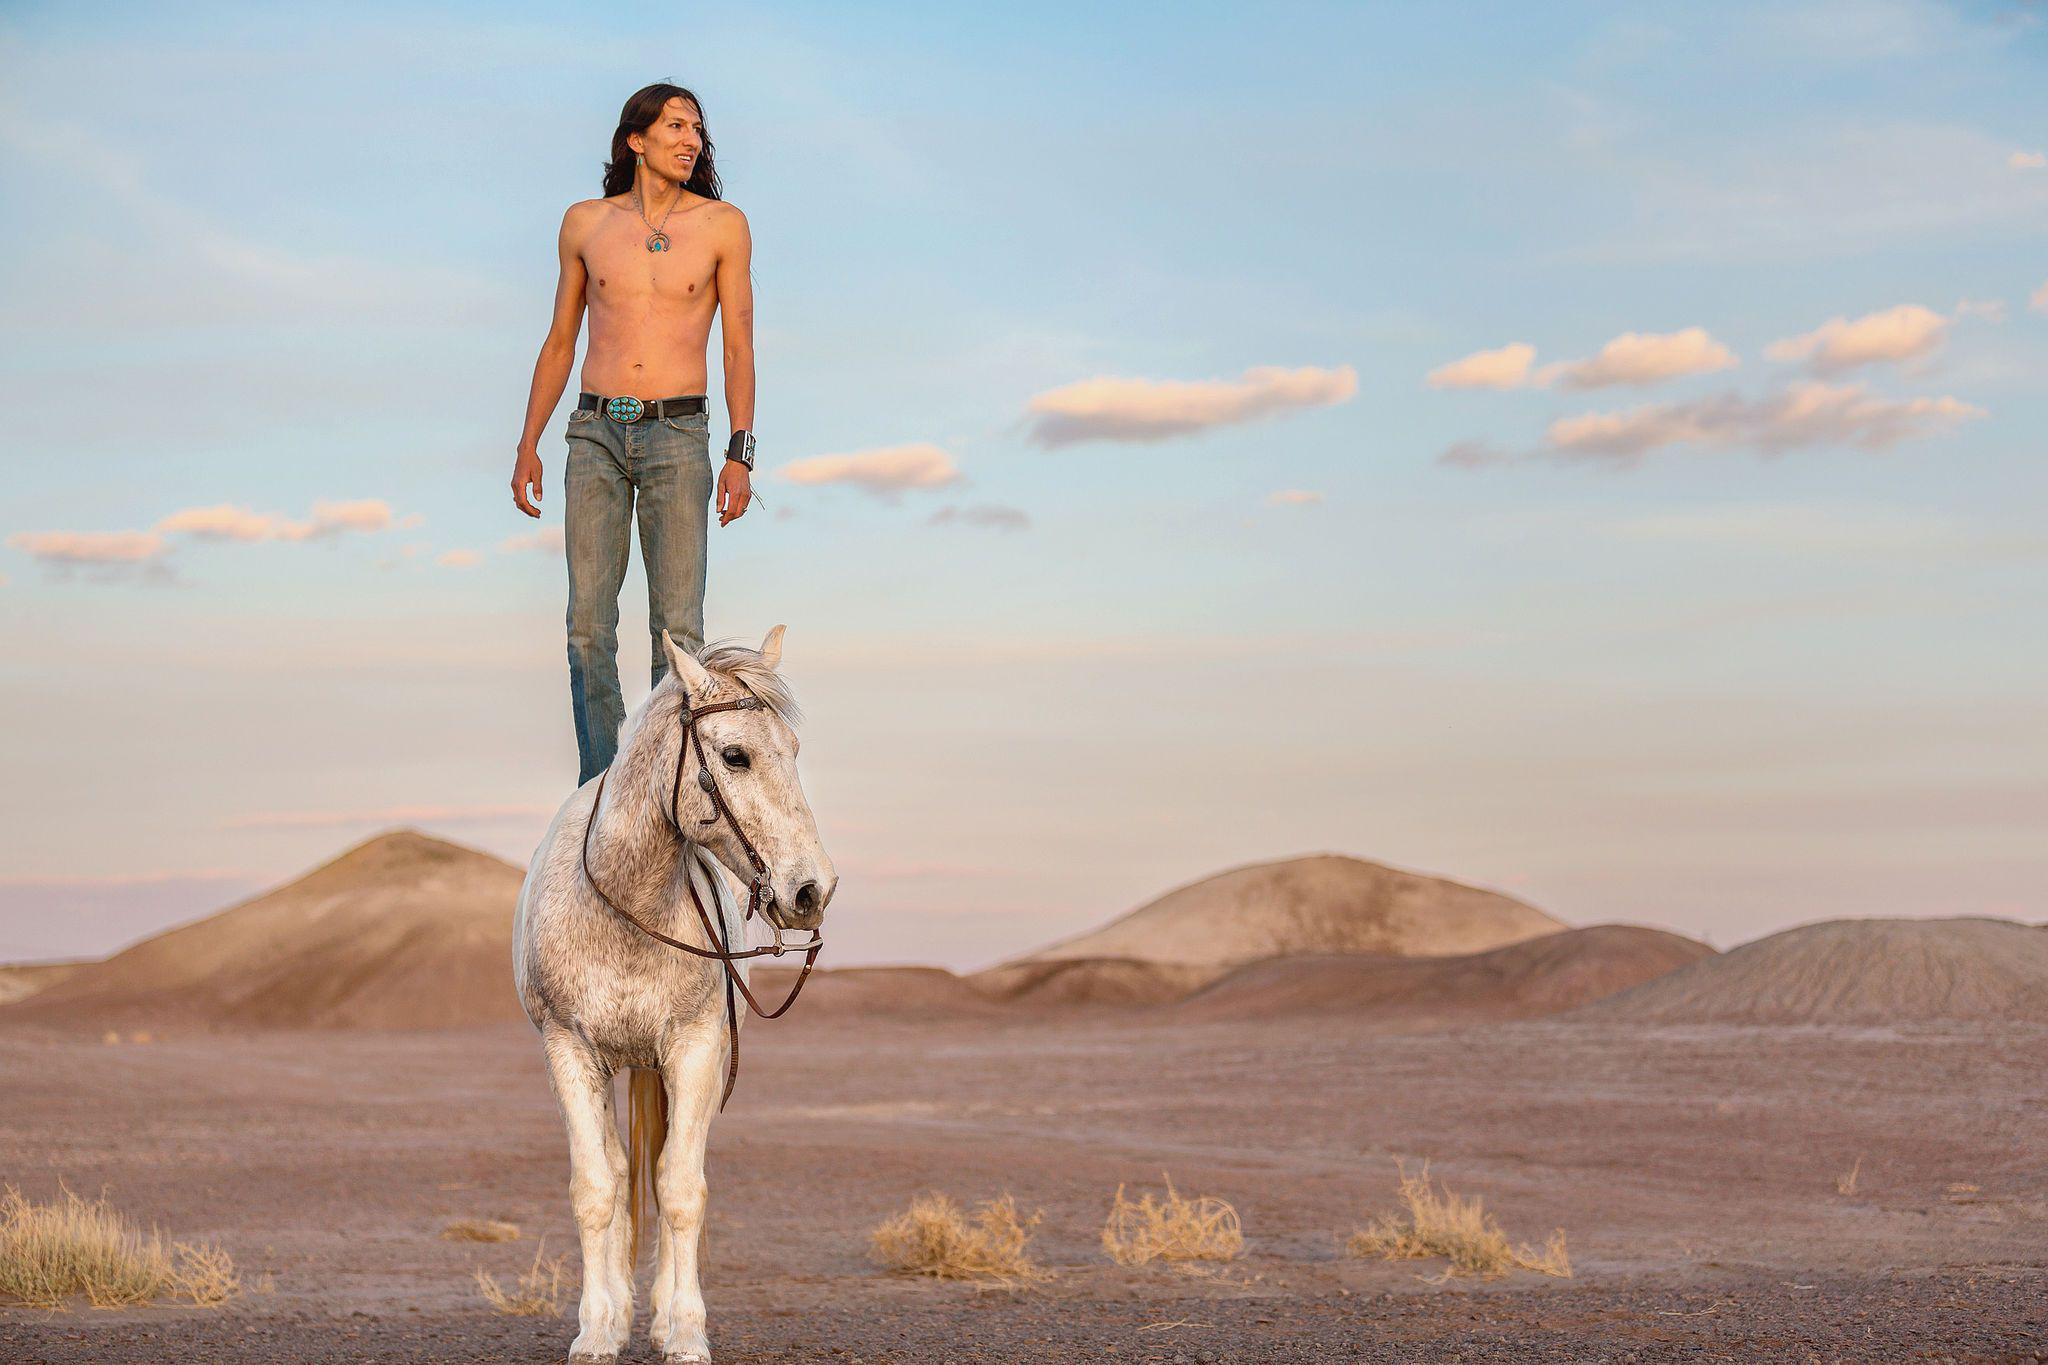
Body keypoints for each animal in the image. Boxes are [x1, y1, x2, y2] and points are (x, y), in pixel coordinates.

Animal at [516, 626, 835, 1358]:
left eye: (794, 750)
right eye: (736, 755)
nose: (812, 890)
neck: (628, 903)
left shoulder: (694, 1050)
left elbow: (681, 1187)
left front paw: (685, 1331)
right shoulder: (569, 1050)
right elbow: (597, 1188)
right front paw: (596, 1329)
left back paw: (660, 1315)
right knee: (618, 1174)